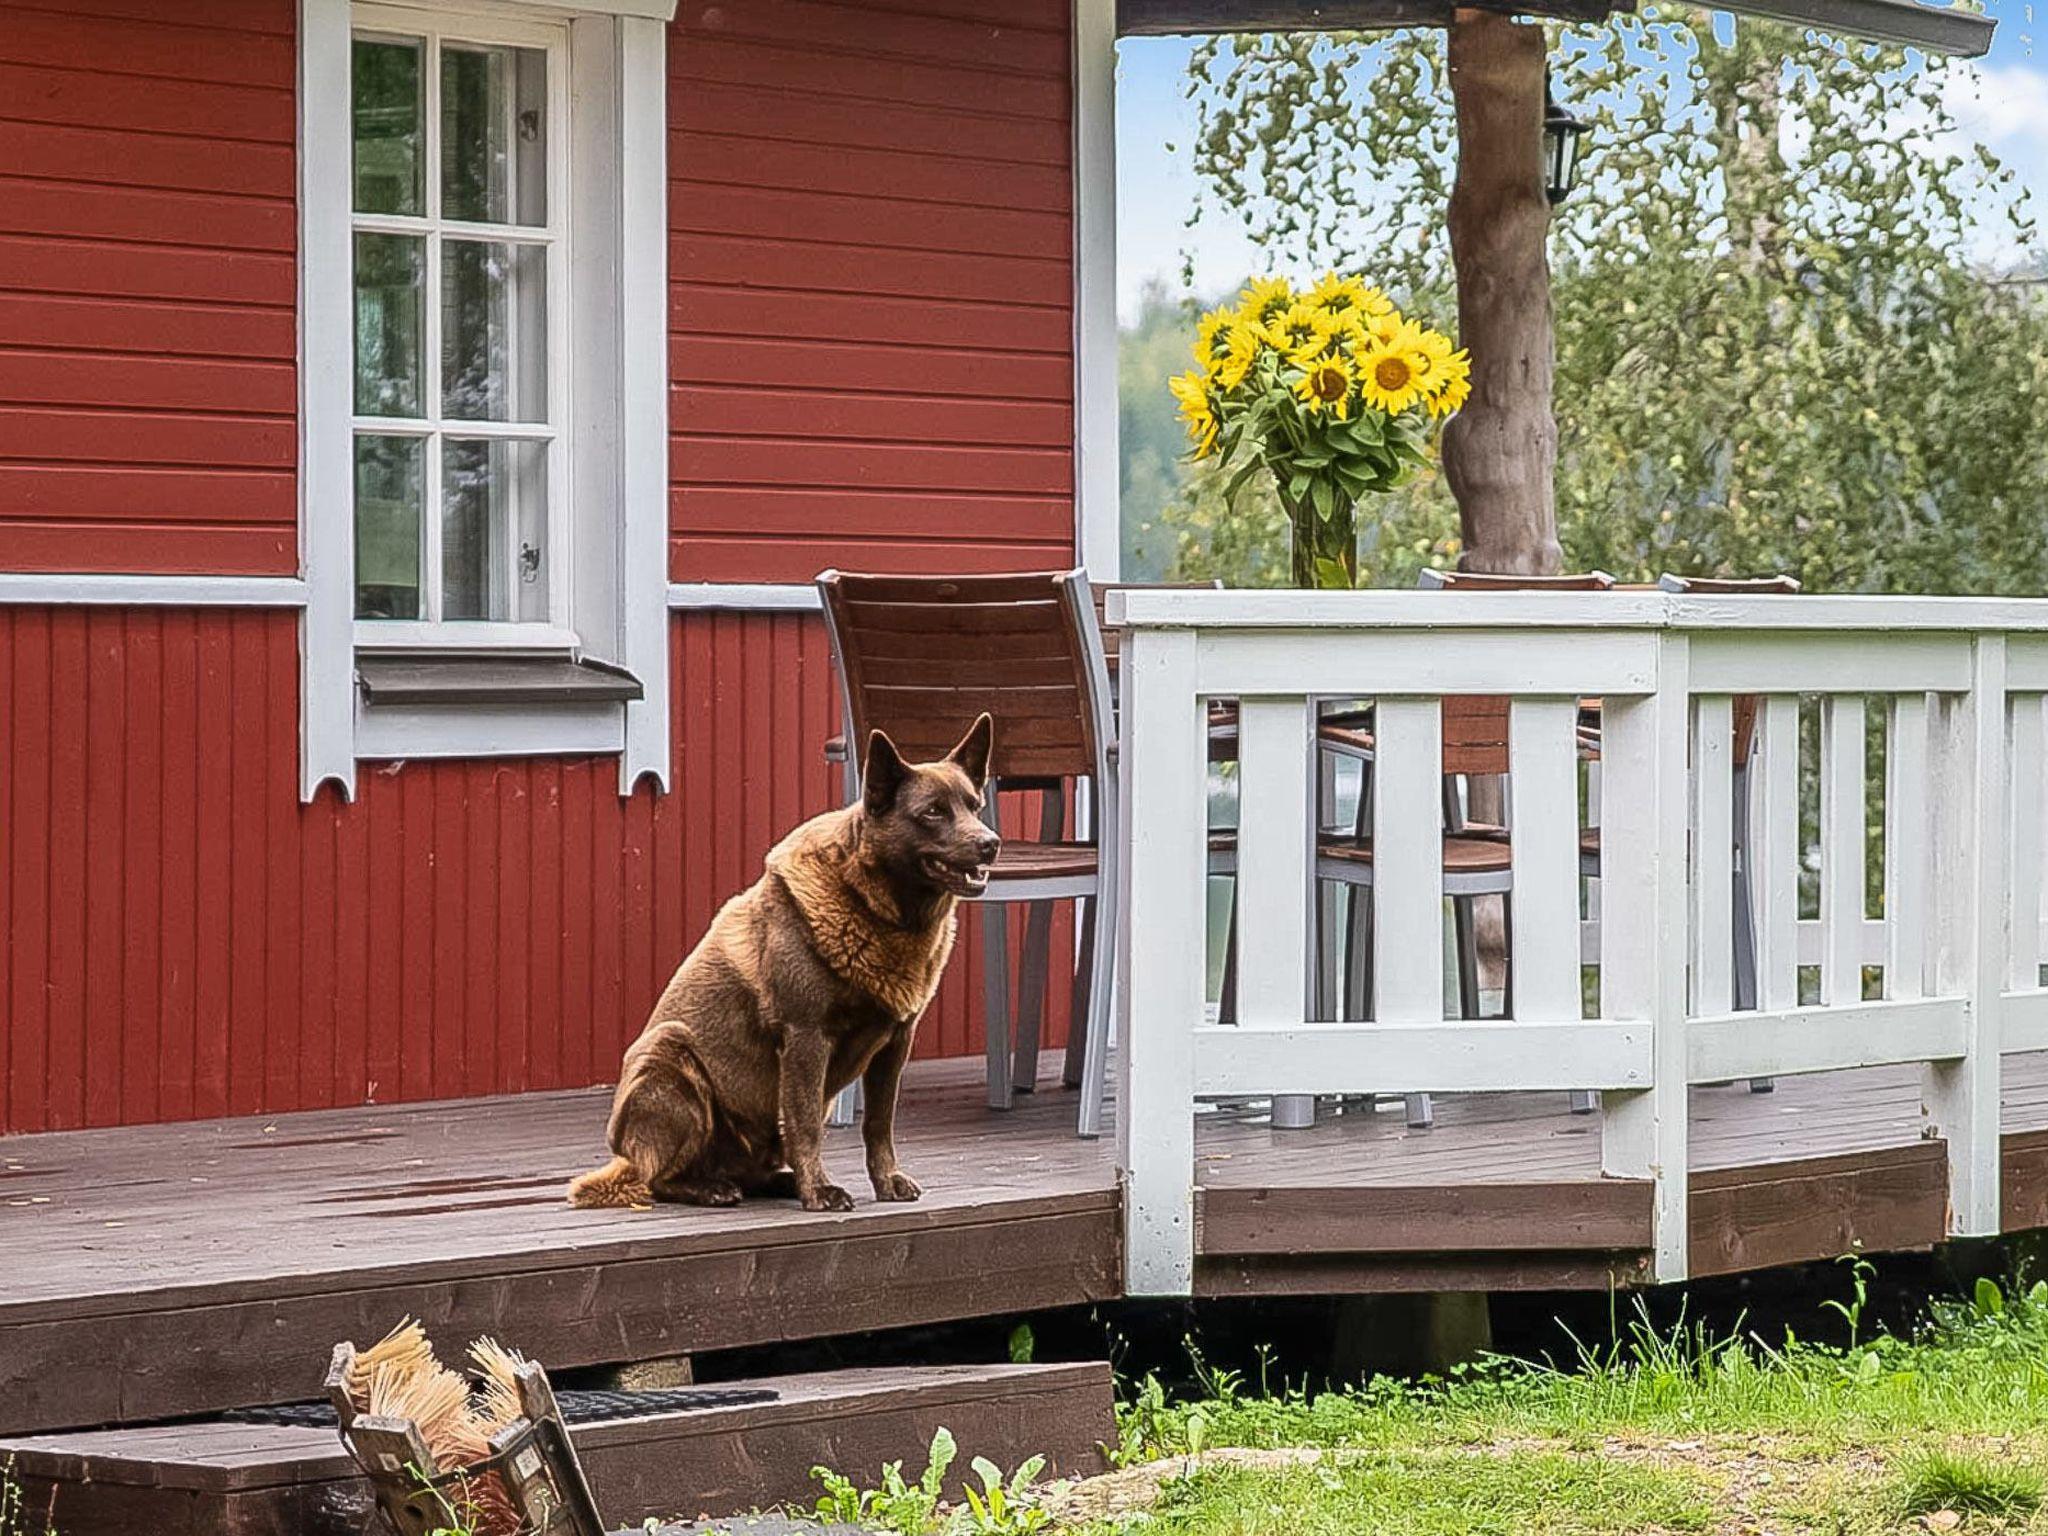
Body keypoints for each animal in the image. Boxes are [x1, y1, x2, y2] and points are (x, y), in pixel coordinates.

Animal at [569, 720, 999, 1212]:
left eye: (974, 805)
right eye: (932, 812)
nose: (991, 844)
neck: (881, 913)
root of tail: (622, 1153)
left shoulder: (896, 1043)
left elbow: (878, 1124)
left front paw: (886, 1181)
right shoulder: (806, 1036)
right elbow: (805, 1124)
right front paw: (820, 1192)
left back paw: (778, 1181)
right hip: (669, 1054)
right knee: (657, 1178)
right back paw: (712, 1188)